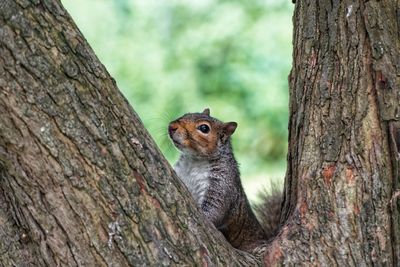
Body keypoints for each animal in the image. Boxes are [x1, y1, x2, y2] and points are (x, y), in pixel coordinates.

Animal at [167, 108, 282, 251]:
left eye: (204, 128)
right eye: (186, 114)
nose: (171, 126)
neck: (194, 161)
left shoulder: (222, 185)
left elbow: (215, 210)